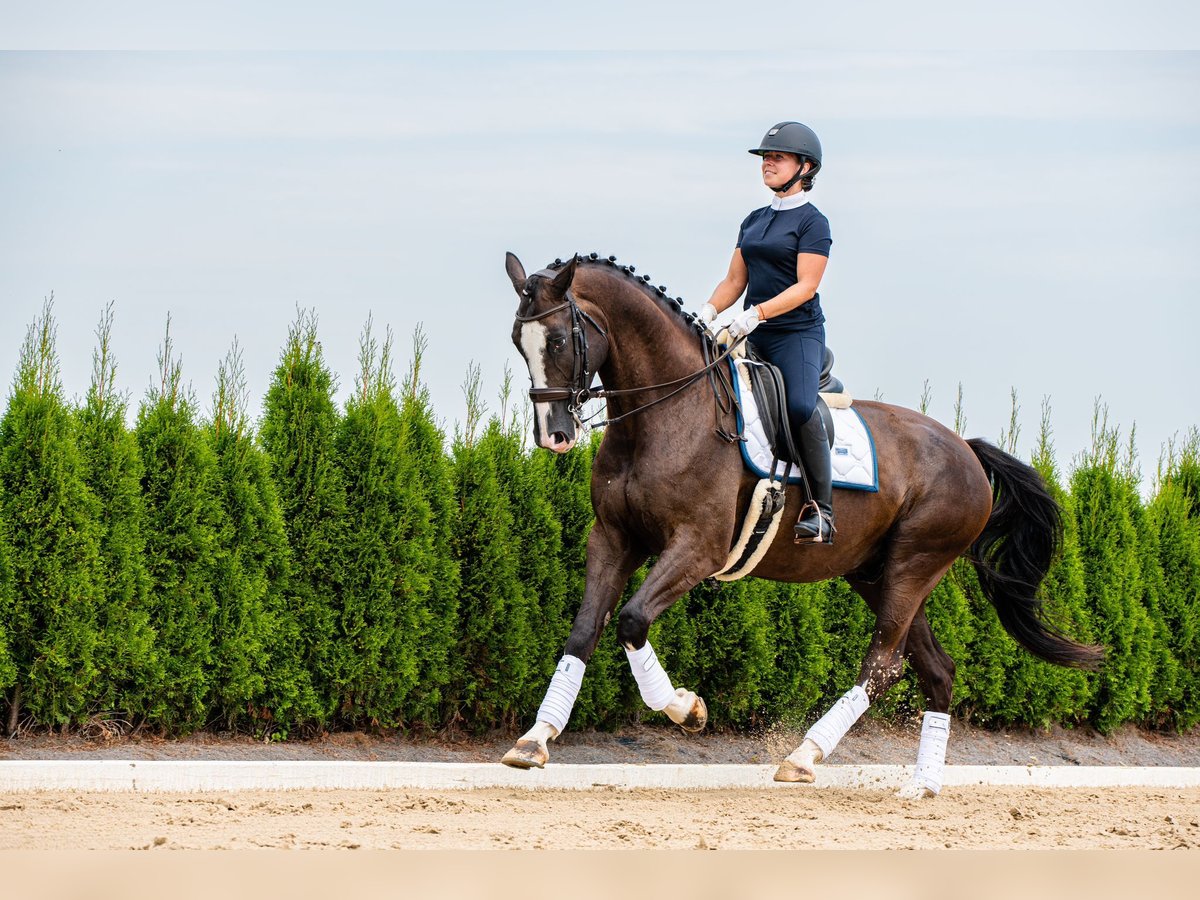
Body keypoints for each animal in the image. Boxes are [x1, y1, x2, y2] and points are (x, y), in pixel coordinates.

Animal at [499, 250, 1104, 801]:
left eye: (559, 341)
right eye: (517, 341)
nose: (554, 435)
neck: (665, 414)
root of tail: (967, 450)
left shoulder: (696, 547)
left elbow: (630, 620)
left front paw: (688, 710)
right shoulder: (613, 538)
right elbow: (584, 631)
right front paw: (535, 740)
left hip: (915, 563)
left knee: (883, 664)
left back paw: (803, 756)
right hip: (877, 572)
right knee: (938, 670)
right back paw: (923, 785)